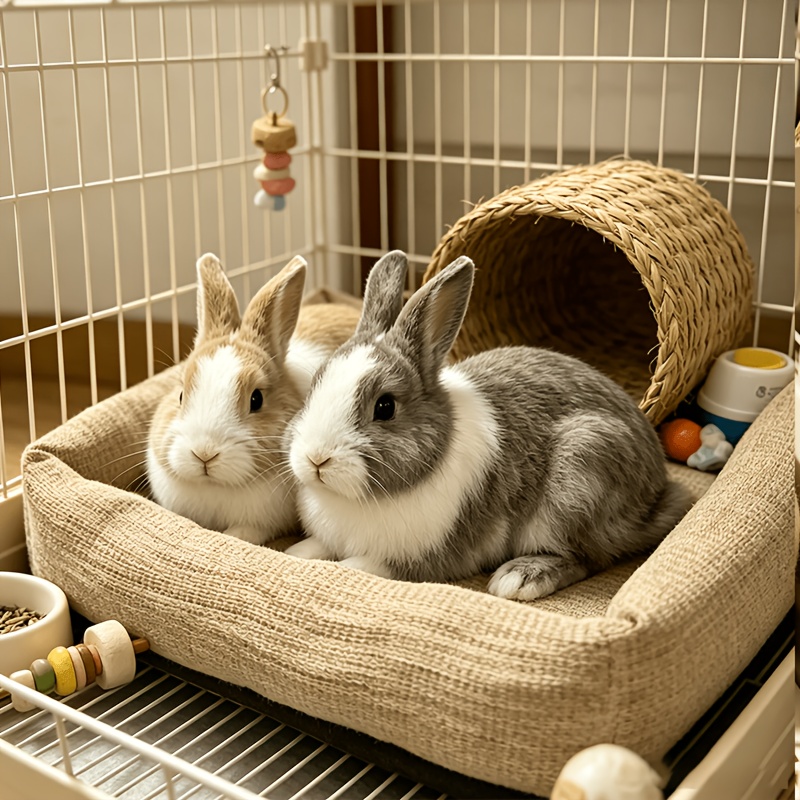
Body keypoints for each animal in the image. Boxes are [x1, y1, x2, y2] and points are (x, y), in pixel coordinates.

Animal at [146, 253, 360, 546]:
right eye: (180, 395)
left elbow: (244, 533)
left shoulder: (261, 522)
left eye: (256, 399)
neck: (216, 487)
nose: (204, 453)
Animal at [284, 250, 691, 601]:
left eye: (385, 407)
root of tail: (657, 490)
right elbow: (309, 549)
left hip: (581, 472)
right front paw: (291, 554)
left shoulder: (416, 558)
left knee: (588, 557)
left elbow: (359, 566)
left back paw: (520, 578)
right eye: (315, 383)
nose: (316, 459)